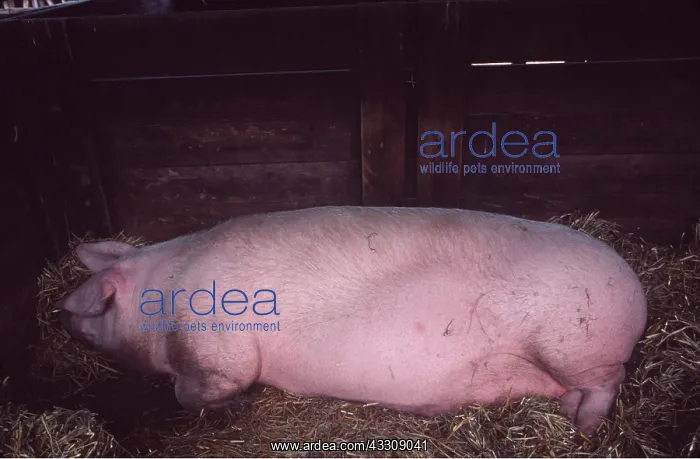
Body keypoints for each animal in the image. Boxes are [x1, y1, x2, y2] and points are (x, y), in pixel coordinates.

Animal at [58, 206, 647, 435]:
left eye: (98, 310)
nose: (64, 315)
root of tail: (637, 288)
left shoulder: (219, 350)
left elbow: (194, 391)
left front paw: (238, 404)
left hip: (573, 341)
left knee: (609, 380)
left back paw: (583, 427)